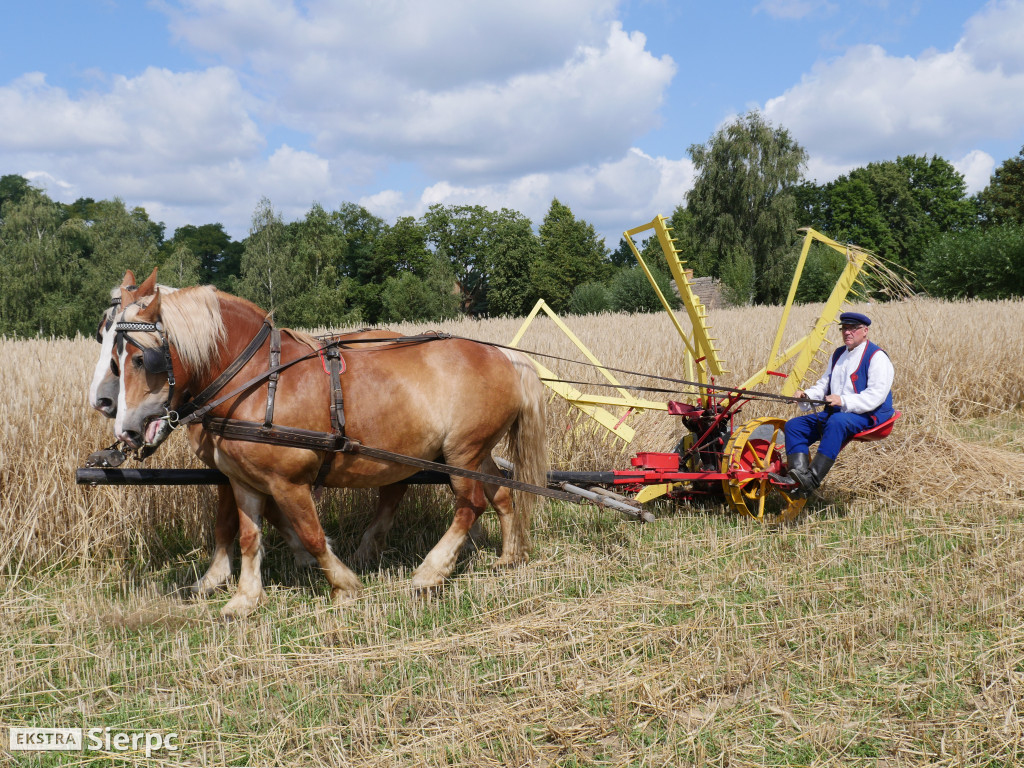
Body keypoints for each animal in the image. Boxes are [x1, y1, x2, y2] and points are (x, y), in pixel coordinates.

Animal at [112, 286, 548, 618]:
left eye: (142, 358)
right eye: (114, 359)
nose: (126, 429)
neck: (255, 380)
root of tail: (506, 355)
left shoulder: (288, 482)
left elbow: (311, 534)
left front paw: (343, 585)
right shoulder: (244, 481)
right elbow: (249, 536)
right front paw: (245, 598)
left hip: (462, 453)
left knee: (470, 505)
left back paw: (430, 573)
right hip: (474, 453)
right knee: (501, 492)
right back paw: (509, 556)